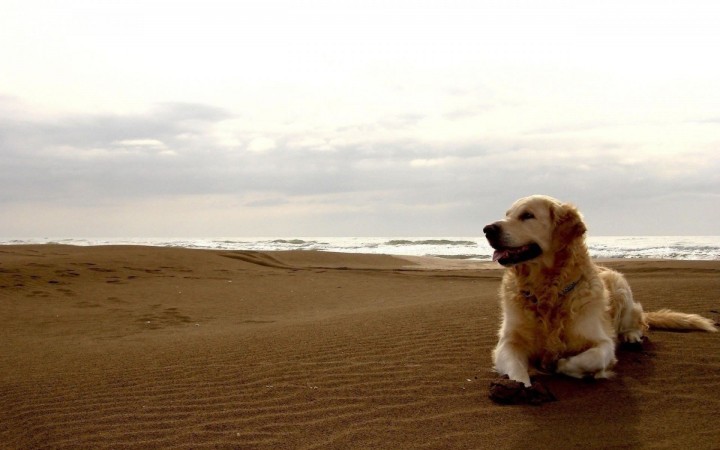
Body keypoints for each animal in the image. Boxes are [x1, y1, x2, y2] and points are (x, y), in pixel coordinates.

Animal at [484, 194, 716, 386]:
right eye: (507, 215)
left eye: (527, 215)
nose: (487, 229)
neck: (548, 291)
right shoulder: (508, 342)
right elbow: (516, 369)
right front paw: (521, 387)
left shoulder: (602, 342)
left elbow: (589, 358)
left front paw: (561, 364)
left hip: (621, 288)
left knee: (639, 322)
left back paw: (632, 336)